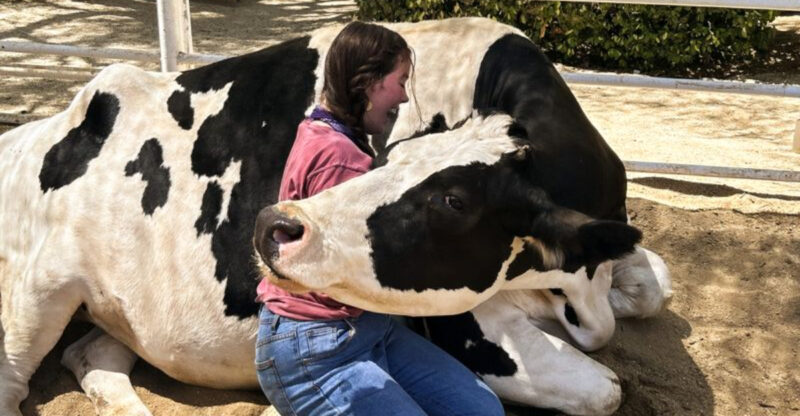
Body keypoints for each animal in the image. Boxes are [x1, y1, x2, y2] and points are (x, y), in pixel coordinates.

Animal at [0, 17, 671, 416]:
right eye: (389, 157)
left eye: (454, 200)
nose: (271, 229)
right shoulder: (456, 325)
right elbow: (605, 388)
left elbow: (654, 288)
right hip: (43, 287)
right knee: (15, 375)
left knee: (93, 358)